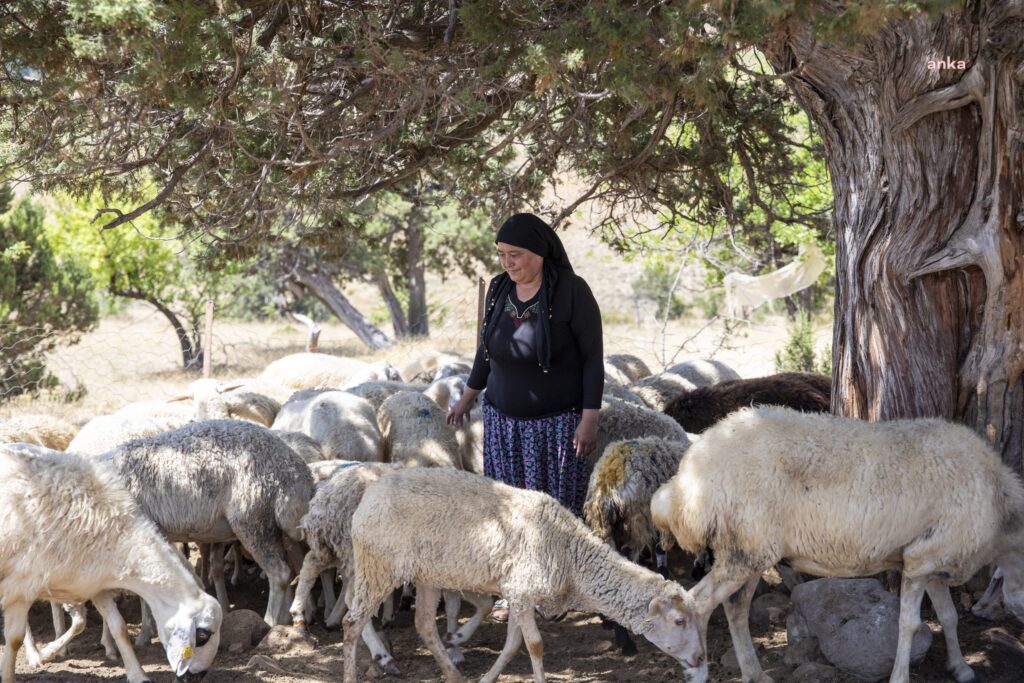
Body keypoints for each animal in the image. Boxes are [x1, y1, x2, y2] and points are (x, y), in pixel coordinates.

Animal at [0, 444, 222, 683]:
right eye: (202, 635)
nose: (196, 677)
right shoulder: (21, 587)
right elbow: (14, 639)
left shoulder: (96, 584)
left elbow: (119, 627)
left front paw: (138, 675)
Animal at [110, 419, 313, 626]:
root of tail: (298, 476)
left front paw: (146, 630)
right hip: (278, 525)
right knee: (296, 563)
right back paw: (292, 616)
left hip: (252, 519)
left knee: (280, 573)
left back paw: (270, 622)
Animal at [344, 471, 704, 683]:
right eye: (679, 621)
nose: (700, 658)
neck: (570, 553)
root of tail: (369, 494)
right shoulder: (522, 591)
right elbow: (535, 645)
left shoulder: (518, 594)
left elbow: (513, 645)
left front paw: (487, 678)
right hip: (378, 566)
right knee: (352, 623)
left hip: (426, 576)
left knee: (424, 625)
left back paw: (453, 673)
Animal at [651, 405, 1024, 683]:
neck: (999, 508)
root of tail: (686, 481)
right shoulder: (922, 561)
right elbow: (910, 623)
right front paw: (901, 676)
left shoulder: (931, 560)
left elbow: (948, 616)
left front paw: (960, 668)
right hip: (744, 551)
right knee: (698, 604)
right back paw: (699, 671)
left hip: (748, 549)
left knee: (735, 609)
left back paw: (755, 673)